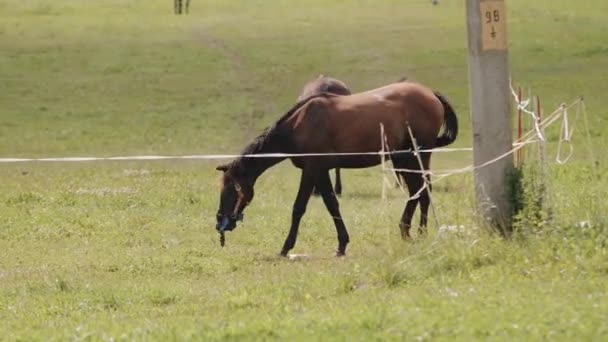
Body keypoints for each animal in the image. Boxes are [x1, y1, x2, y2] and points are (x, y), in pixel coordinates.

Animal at [214, 81, 456, 256]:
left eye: (231, 189)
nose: (220, 223)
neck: (299, 125)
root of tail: (430, 94)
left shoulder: (312, 170)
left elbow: (299, 208)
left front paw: (286, 247)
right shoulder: (320, 172)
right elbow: (332, 205)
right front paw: (342, 244)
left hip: (417, 156)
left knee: (422, 190)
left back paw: (414, 231)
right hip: (404, 159)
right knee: (420, 190)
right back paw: (413, 231)